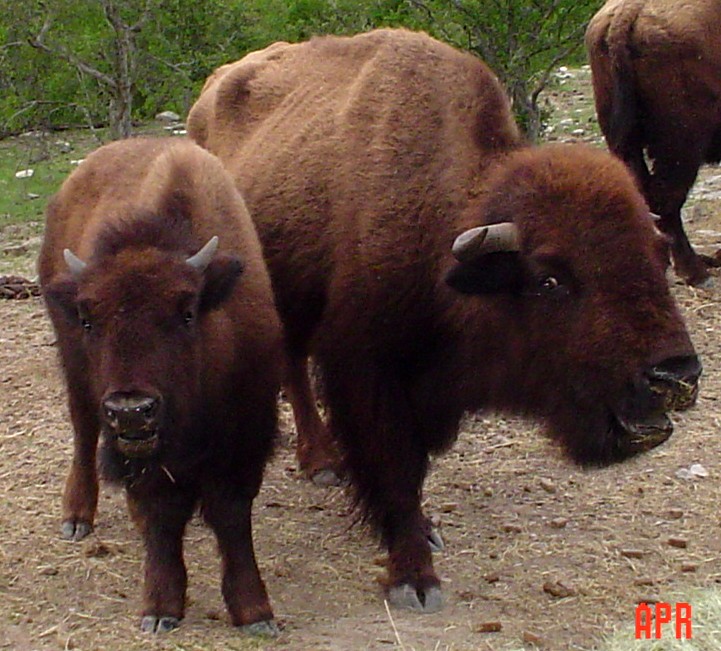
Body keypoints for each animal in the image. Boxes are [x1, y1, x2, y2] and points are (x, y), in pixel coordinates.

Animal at [38, 139, 282, 636]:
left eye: (187, 313)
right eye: (88, 319)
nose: (131, 409)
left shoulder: (247, 433)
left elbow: (232, 516)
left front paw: (254, 612)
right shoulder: (149, 459)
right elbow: (163, 517)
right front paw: (160, 608)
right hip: (77, 376)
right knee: (83, 431)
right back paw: (76, 517)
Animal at [188, 28, 700, 612]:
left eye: (657, 256)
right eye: (549, 280)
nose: (676, 375)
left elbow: (415, 470)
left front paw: (424, 533)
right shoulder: (370, 374)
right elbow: (397, 470)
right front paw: (414, 578)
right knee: (293, 370)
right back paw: (320, 462)